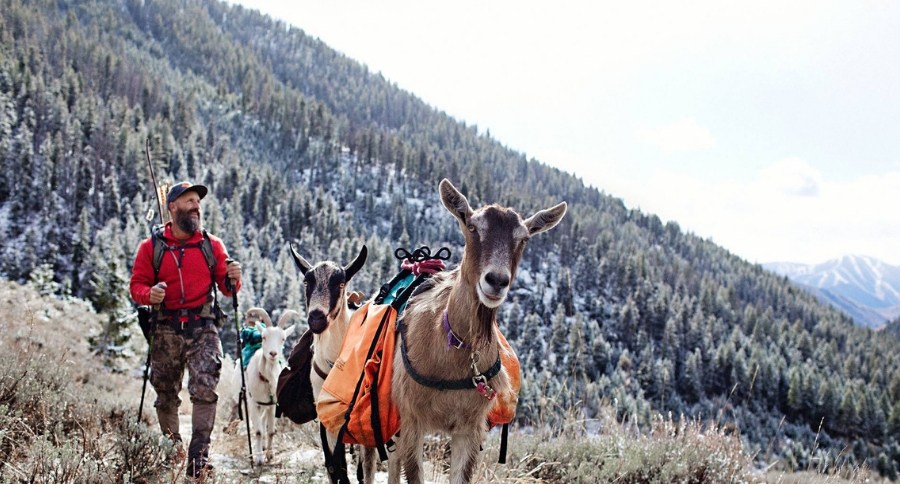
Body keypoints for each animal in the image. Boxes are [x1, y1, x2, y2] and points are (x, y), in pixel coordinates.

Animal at [245, 310, 299, 465]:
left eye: (283, 339)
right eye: (264, 337)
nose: (273, 354)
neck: (266, 379)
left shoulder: (272, 404)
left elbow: (270, 431)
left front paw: (269, 454)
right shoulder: (253, 402)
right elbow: (258, 431)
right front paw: (258, 458)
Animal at [289, 244, 378, 482]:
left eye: (340, 283)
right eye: (306, 282)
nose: (317, 318)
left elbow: (364, 468)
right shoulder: (326, 418)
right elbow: (335, 467)